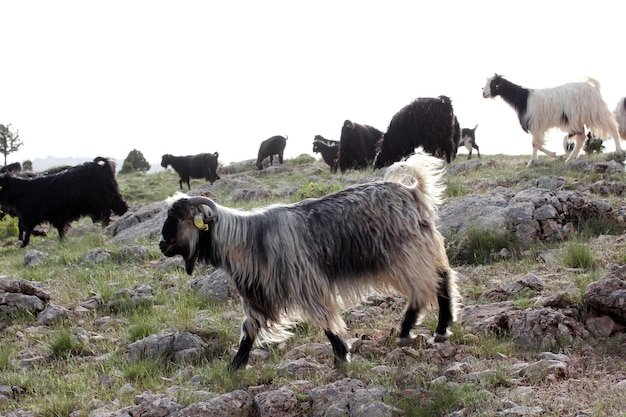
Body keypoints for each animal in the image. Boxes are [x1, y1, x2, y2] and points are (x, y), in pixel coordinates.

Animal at [156, 150, 458, 370]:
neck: (246, 239)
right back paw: (438, 328)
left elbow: (326, 321)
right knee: (440, 280)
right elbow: (248, 330)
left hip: (406, 255)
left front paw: (341, 356)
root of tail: (413, 191)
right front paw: (235, 366)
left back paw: (412, 331)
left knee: (427, 286)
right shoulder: (258, 297)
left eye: (178, 218)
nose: (161, 245)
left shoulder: (307, 283)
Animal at [482, 73, 620, 166]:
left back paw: (618, 151)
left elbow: (536, 144)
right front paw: (553, 157)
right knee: (581, 138)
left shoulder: (536, 124)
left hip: (595, 112)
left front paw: (533, 161)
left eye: (494, 84)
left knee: (613, 128)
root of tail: (594, 87)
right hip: (577, 119)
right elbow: (537, 144)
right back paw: (570, 159)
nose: (483, 94)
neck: (523, 99)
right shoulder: (537, 126)